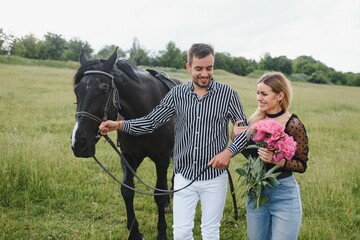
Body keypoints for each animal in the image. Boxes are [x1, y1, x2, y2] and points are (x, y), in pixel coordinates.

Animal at [71, 48, 180, 240]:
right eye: (77, 90)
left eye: (104, 89)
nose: (78, 143)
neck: (144, 114)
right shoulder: (128, 157)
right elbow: (127, 191)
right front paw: (134, 231)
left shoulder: (162, 157)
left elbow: (158, 193)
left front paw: (161, 233)